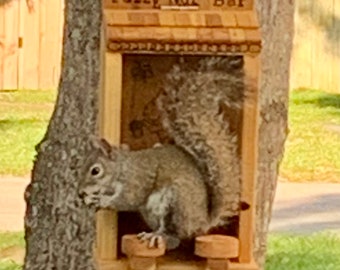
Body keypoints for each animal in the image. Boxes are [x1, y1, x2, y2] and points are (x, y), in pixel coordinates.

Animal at [80, 56, 248, 250]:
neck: (122, 168)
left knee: (173, 233)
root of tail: (202, 223)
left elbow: (128, 199)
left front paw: (102, 200)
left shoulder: (136, 181)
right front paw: (92, 198)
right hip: (152, 212)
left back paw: (157, 235)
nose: (80, 193)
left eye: (95, 171)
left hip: (176, 202)